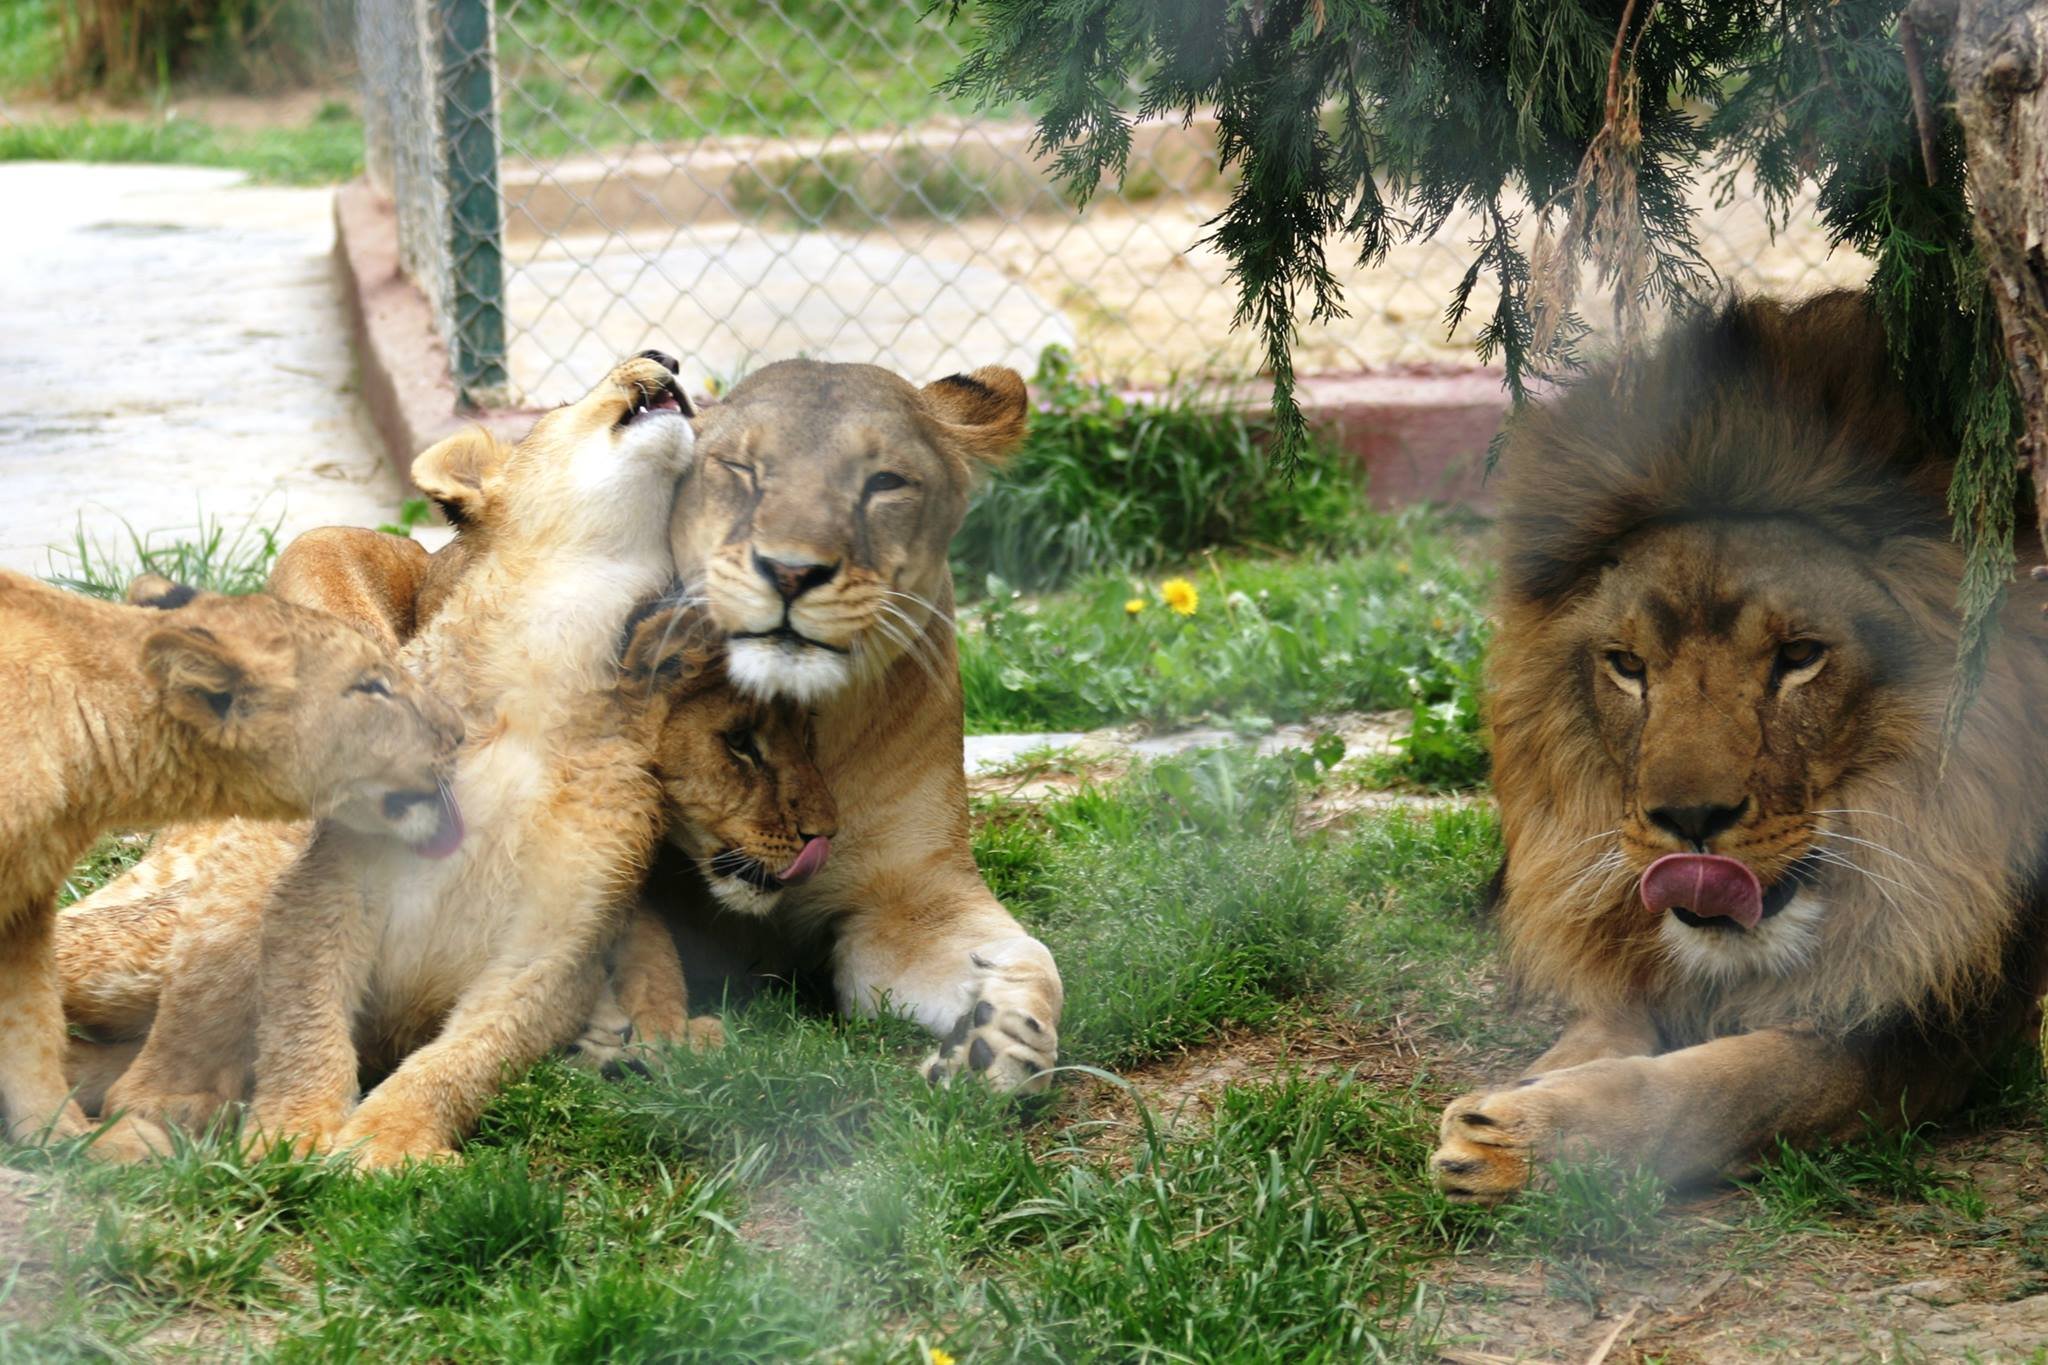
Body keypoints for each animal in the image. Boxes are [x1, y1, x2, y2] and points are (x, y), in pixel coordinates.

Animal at [1433, 294, 2048, 1203]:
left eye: (1799, 656)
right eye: (1628, 665)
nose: (1690, 819)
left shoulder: (1932, 1029)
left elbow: (1738, 1083)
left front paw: (1524, 1134)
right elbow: (1604, 1022)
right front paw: (1526, 1094)